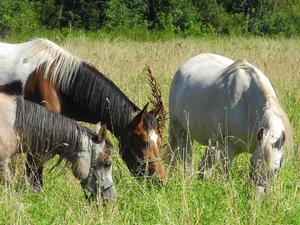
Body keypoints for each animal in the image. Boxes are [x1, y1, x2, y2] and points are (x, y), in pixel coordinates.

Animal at [169, 53, 292, 195]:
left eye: (276, 169)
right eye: (253, 164)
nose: (258, 197)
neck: (246, 104)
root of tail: (182, 69)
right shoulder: (227, 150)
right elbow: (226, 176)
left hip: (213, 143)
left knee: (203, 168)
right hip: (182, 132)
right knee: (186, 160)